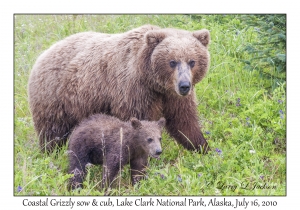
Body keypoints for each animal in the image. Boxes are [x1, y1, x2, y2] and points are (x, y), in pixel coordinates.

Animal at [28, 24, 211, 153]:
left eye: (192, 61)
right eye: (172, 62)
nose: (184, 86)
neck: (153, 81)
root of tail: (43, 53)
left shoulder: (171, 96)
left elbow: (183, 120)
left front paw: (203, 147)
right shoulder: (134, 89)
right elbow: (139, 123)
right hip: (54, 95)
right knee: (53, 131)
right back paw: (51, 153)